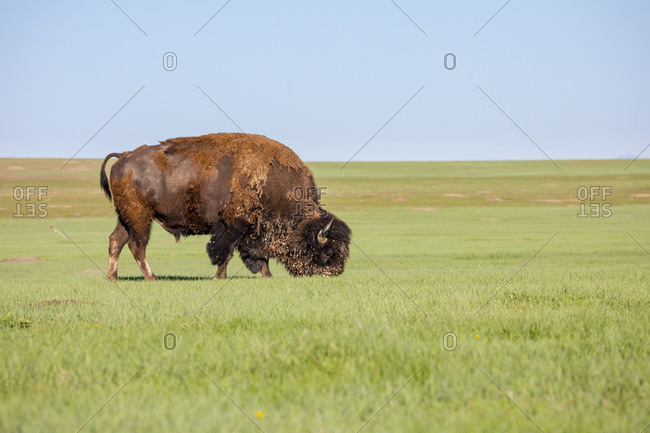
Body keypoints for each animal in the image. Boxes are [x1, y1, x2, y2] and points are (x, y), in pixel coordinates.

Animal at [100, 133, 351, 280]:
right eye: (329, 252)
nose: (336, 272)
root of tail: (123, 157)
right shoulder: (232, 225)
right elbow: (226, 253)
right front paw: (219, 277)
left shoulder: (255, 230)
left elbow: (261, 255)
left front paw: (267, 276)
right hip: (141, 217)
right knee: (137, 246)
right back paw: (152, 278)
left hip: (126, 217)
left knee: (116, 241)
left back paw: (113, 277)